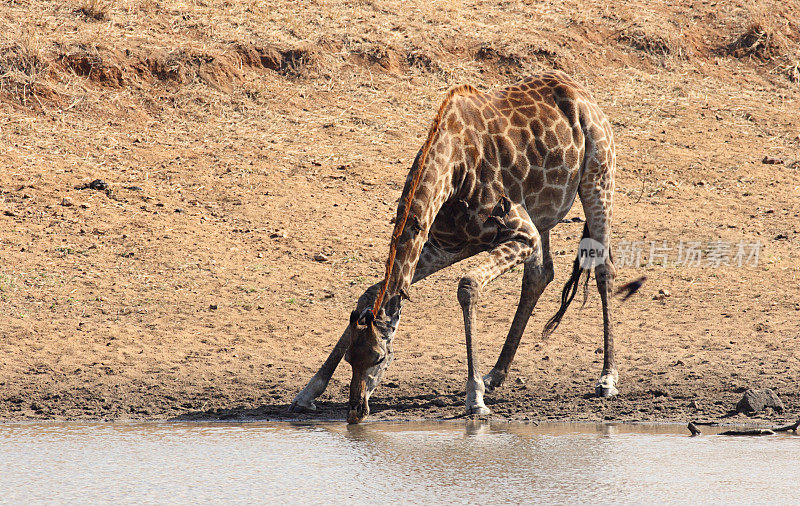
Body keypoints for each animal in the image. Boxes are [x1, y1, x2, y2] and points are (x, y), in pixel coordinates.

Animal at [292, 69, 620, 422]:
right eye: (351, 358)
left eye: (380, 357)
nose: (355, 410)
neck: (452, 171)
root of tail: (581, 92)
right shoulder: (446, 245)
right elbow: (372, 291)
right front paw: (307, 392)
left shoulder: (522, 233)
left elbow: (467, 285)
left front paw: (474, 398)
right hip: (543, 213)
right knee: (540, 274)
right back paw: (495, 375)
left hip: (598, 179)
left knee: (603, 269)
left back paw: (607, 378)